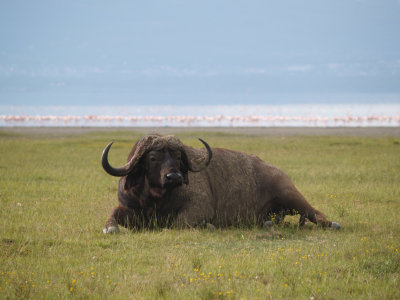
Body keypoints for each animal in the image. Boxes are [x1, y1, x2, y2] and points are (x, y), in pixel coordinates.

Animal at [101, 134, 340, 234]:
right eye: (153, 158)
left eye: (178, 157)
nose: (174, 177)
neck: (155, 199)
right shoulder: (133, 210)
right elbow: (114, 213)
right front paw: (110, 227)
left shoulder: (199, 208)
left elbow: (179, 222)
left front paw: (209, 226)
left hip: (290, 194)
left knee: (316, 213)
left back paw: (333, 224)